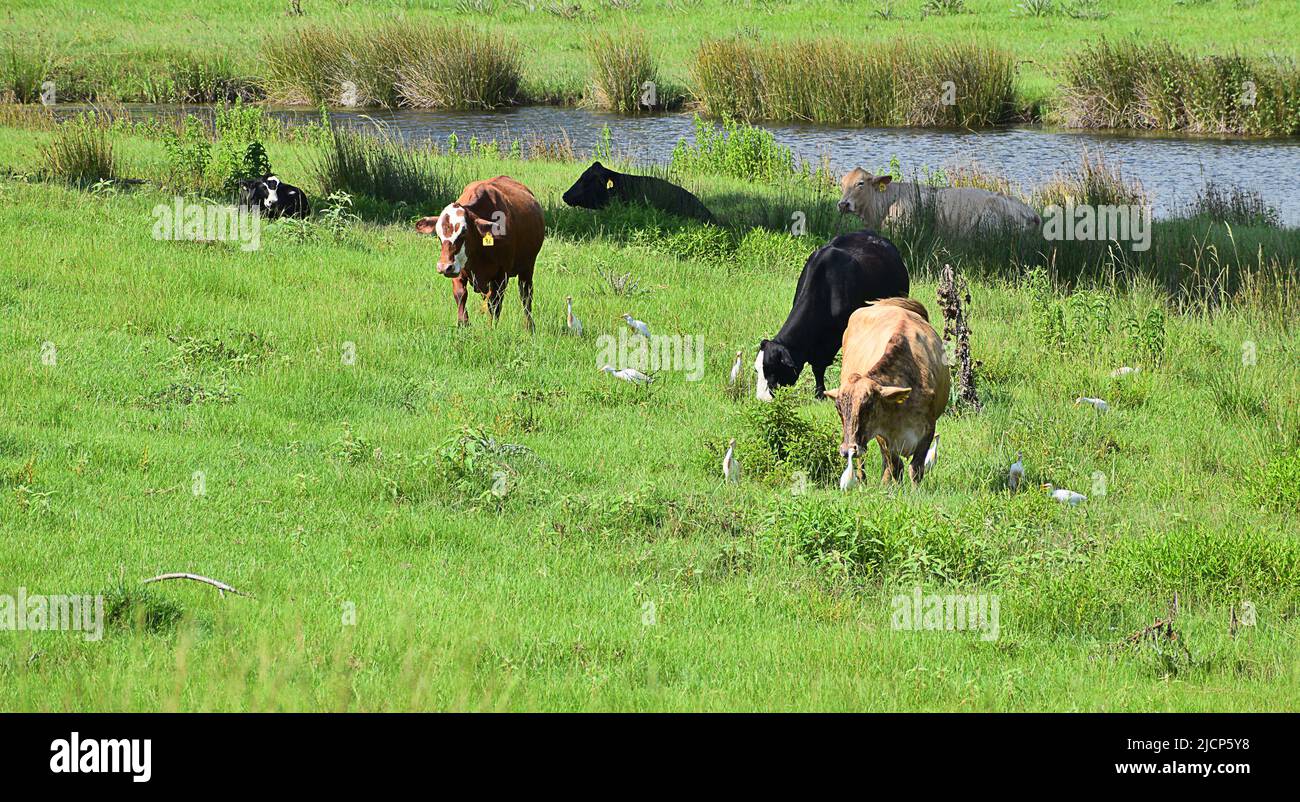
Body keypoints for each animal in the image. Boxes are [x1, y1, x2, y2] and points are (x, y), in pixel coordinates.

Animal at [415, 176, 545, 330]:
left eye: (463, 233)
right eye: (439, 235)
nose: (444, 267)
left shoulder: (501, 276)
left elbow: (495, 304)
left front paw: (491, 327)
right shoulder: (459, 271)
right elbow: (461, 295)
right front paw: (463, 324)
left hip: (527, 267)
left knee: (525, 295)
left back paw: (529, 326)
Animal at [755, 230, 909, 401]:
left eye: (773, 369)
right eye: (757, 370)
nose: (761, 398)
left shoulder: (835, 336)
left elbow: (820, 365)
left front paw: (822, 393)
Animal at [824, 298, 949, 485]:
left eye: (868, 406)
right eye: (838, 408)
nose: (846, 450)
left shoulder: (928, 430)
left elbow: (915, 469)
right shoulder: (883, 437)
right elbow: (895, 466)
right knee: (864, 462)